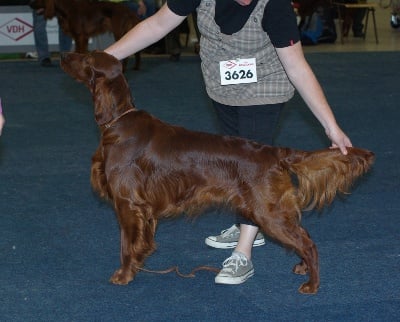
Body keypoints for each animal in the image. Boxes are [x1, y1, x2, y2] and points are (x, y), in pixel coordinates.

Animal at [60, 50, 376, 294]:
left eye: (86, 58)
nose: (62, 55)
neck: (118, 121)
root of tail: (274, 152)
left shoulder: (127, 203)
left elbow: (125, 245)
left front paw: (124, 275)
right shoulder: (142, 209)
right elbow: (140, 242)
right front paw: (139, 264)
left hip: (268, 211)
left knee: (308, 243)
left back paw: (312, 284)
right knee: (303, 235)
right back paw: (301, 267)